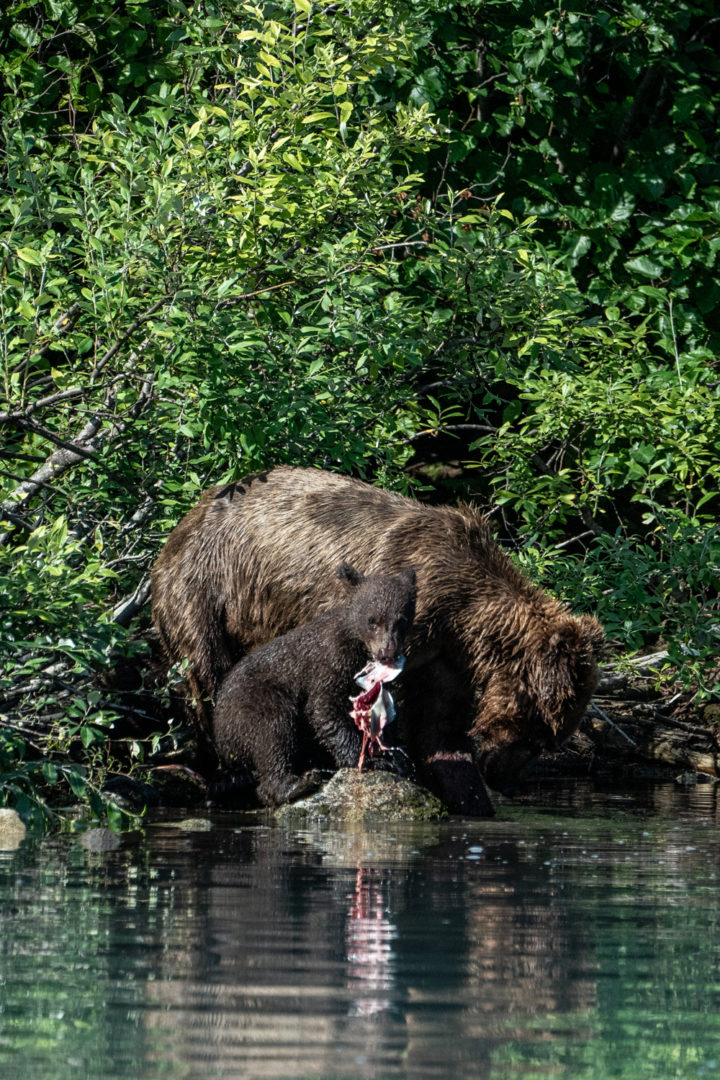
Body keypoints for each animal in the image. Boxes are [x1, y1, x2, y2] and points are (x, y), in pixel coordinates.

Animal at [212, 561, 417, 807]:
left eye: (402, 620)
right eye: (372, 620)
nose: (387, 652)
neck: (358, 649)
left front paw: (395, 756)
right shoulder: (329, 663)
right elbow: (323, 709)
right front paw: (370, 760)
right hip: (249, 703)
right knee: (271, 730)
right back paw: (295, 783)